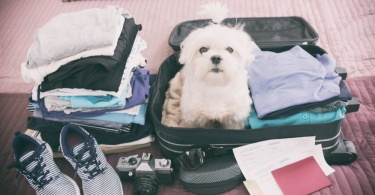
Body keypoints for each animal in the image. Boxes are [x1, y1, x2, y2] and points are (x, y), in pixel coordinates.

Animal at [164, 1, 256, 129]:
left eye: (229, 49)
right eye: (203, 49)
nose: (216, 57)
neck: (215, 86)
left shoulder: (234, 119)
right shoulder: (197, 118)